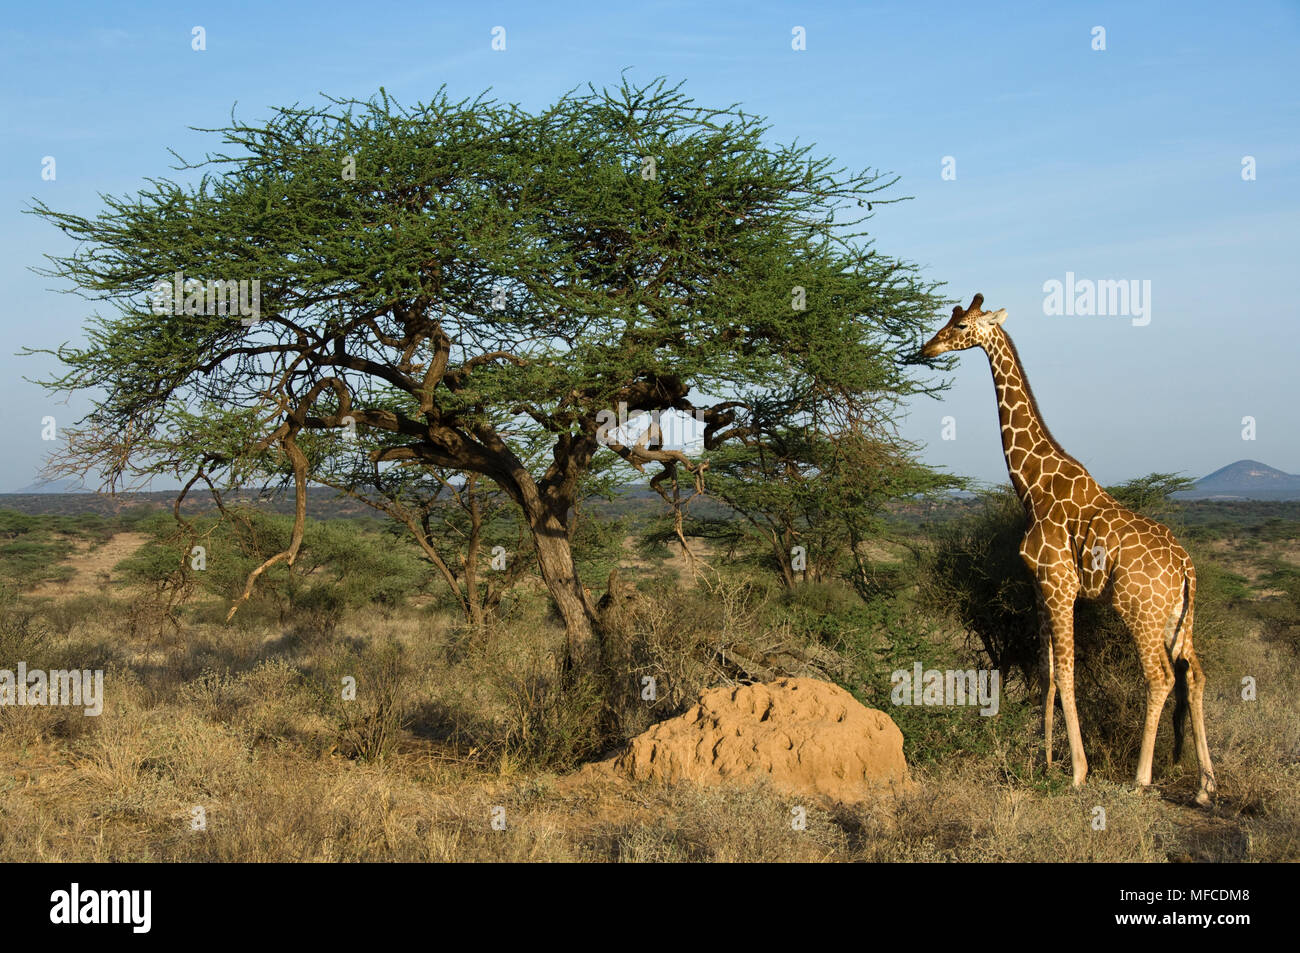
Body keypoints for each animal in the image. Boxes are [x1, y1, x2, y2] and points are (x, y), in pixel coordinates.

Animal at [920, 291, 1211, 800]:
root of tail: (1185, 567)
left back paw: (1140, 778)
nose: (927, 347)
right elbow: (1047, 670)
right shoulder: (1039, 585)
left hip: (1140, 611)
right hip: (1178, 617)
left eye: (960, 327)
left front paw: (1077, 770)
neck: (1032, 484)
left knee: (1159, 676)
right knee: (1195, 674)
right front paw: (1047, 759)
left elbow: (1069, 671)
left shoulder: (1061, 586)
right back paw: (1205, 787)